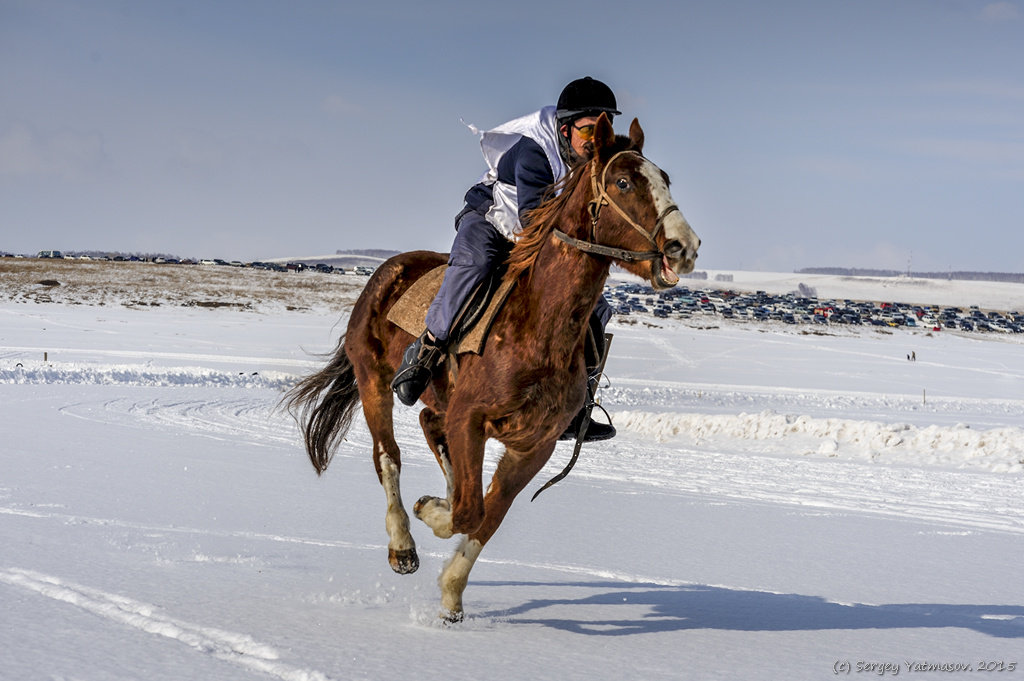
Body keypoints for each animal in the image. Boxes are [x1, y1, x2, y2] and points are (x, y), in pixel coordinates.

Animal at [284, 114, 700, 618]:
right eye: (623, 182)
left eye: (665, 179)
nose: (684, 246)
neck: (540, 325)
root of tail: (386, 271)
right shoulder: (470, 418)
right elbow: (469, 511)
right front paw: (431, 511)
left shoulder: (534, 445)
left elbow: (489, 515)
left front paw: (451, 591)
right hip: (374, 383)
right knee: (388, 456)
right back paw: (403, 543)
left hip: (439, 402)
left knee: (430, 426)